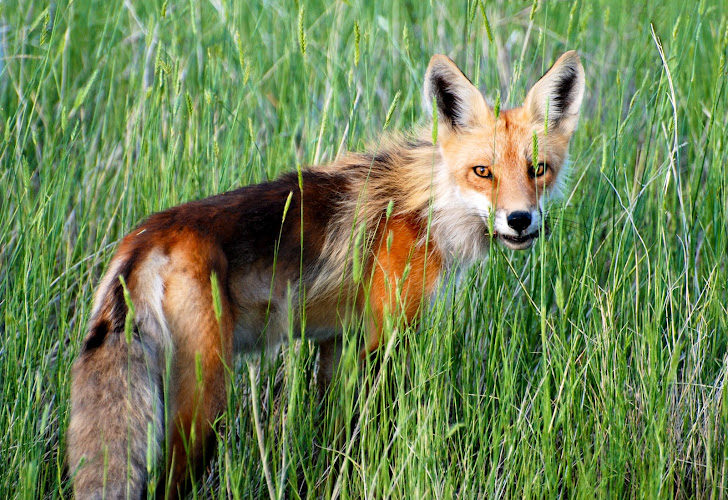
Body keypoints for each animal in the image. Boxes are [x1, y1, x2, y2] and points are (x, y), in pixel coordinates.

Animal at [68, 50, 584, 496]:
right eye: (483, 172)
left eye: (538, 169)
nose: (520, 220)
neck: (426, 209)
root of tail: (144, 239)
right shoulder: (384, 337)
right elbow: (373, 437)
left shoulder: (337, 342)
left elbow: (335, 444)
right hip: (204, 404)